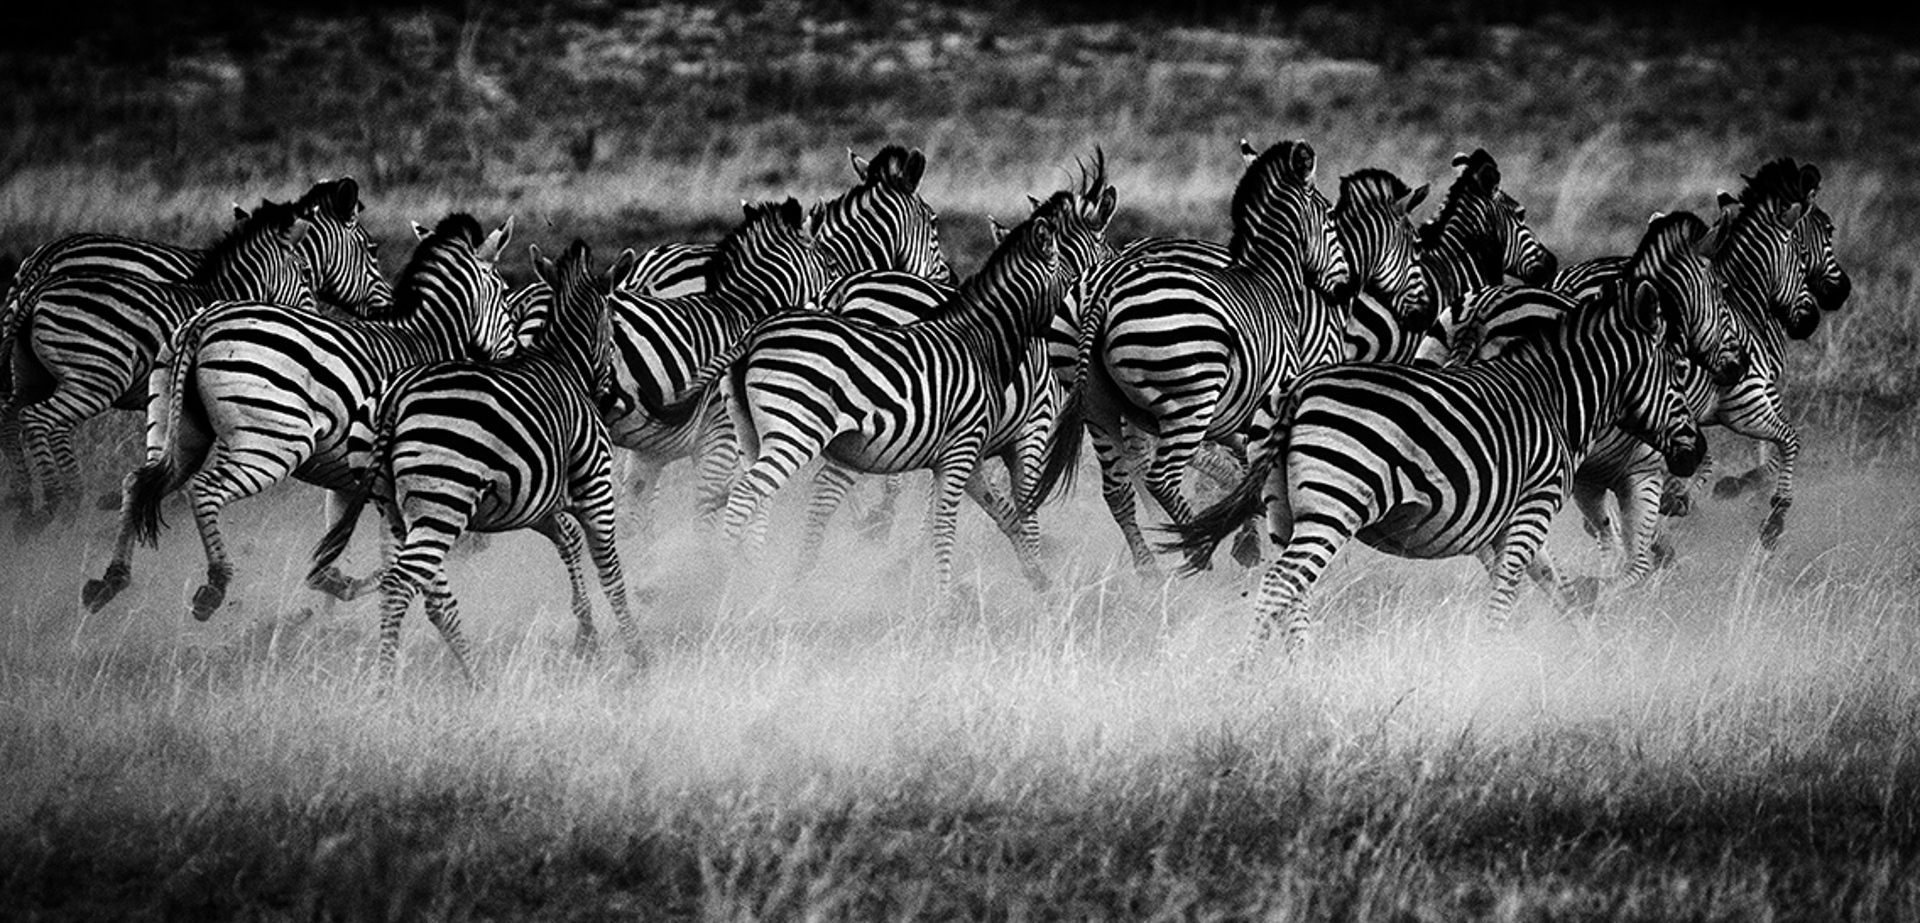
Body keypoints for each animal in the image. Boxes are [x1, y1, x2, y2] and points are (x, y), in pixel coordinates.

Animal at [0, 179, 396, 513]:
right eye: (373, 249)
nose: (391, 308)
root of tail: (43, 263)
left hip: (30, 371)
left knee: (11, 414)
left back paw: (26, 504)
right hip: (94, 374)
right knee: (42, 420)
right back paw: (64, 500)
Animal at [80, 213, 519, 620]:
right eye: (504, 294)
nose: (514, 356)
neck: (426, 341)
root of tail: (205, 320)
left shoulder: (348, 481)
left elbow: (329, 558)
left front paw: (331, 612)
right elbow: (389, 551)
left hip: (175, 428)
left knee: (137, 482)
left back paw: (110, 580)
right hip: (274, 443)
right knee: (204, 489)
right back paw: (215, 583)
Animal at [308, 240, 644, 682]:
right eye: (617, 322)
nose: (615, 398)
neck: (565, 365)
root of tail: (395, 397)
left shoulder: (534, 501)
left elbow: (568, 542)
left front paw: (587, 637)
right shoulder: (595, 487)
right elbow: (611, 571)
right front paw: (636, 652)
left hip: (396, 509)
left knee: (432, 598)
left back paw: (474, 678)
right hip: (442, 502)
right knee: (400, 584)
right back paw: (386, 683)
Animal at [1027, 139, 1356, 573]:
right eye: (1332, 220)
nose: (1345, 288)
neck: (1270, 281)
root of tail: (1104, 287)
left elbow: (1240, 470)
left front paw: (1246, 535)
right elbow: (1250, 474)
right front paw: (1249, 540)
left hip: (1096, 406)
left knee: (1118, 489)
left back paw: (1152, 567)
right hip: (1190, 399)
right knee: (1161, 477)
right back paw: (1197, 550)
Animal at [1159, 282, 1706, 656]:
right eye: (1679, 373)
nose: (1696, 453)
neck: (1555, 400)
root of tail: (1298, 388)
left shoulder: (1499, 519)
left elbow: (1555, 584)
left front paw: (1590, 646)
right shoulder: (1536, 502)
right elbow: (1510, 583)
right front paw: (1492, 654)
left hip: (1280, 508)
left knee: (1292, 590)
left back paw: (1300, 669)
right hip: (1335, 503)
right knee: (1282, 582)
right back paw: (1247, 672)